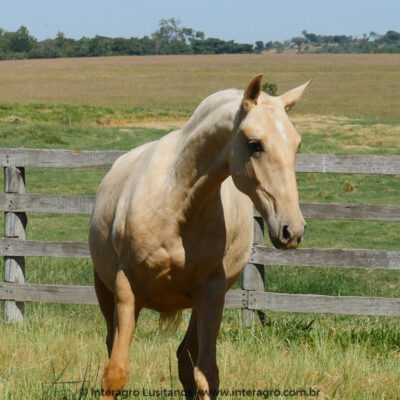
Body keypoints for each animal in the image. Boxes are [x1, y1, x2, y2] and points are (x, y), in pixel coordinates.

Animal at [90, 73, 310, 398]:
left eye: (296, 145)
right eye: (255, 144)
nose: (292, 230)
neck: (175, 204)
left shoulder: (211, 293)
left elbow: (207, 375)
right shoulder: (125, 287)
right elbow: (115, 374)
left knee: (185, 358)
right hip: (105, 291)